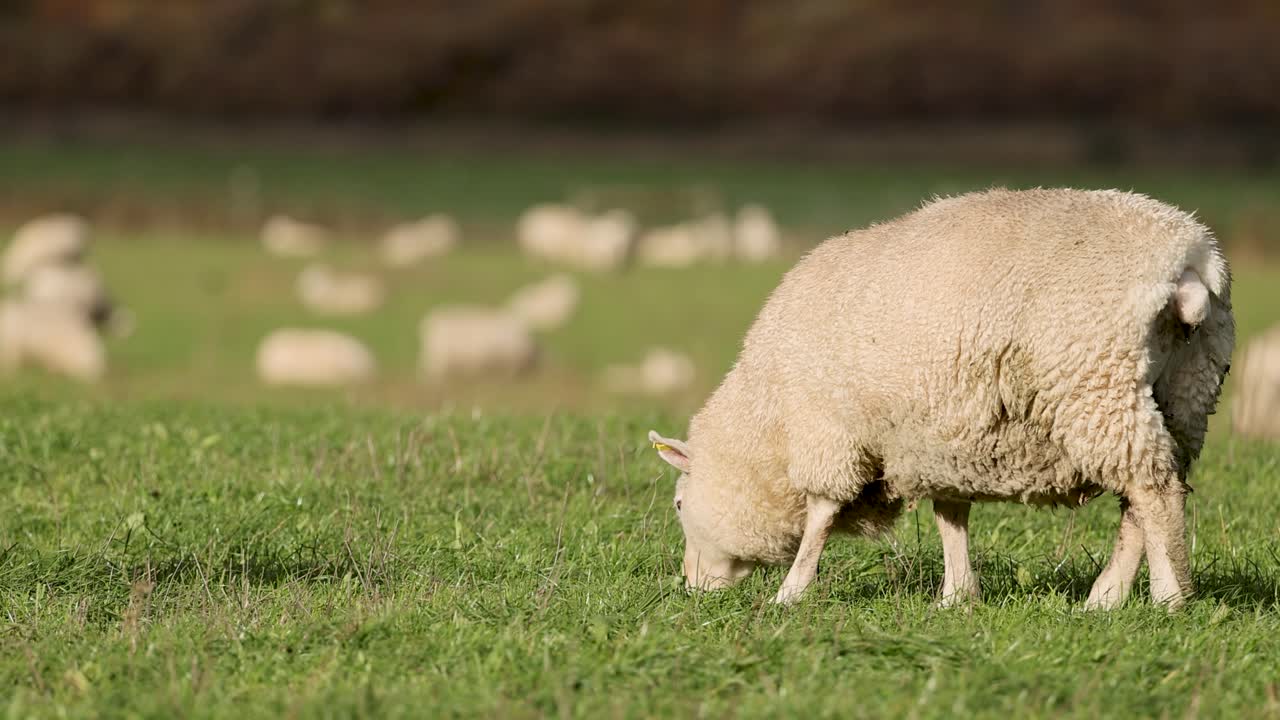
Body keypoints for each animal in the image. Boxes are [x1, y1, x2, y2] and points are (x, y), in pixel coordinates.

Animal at [648, 188, 1233, 611]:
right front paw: (956, 596)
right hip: (1185, 392)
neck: (768, 418)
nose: (690, 589)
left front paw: (790, 593)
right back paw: (1106, 598)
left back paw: (1168, 598)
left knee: (1153, 493)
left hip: (1097, 385)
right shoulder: (943, 439)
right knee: (1146, 497)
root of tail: (1189, 261)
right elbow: (951, 515)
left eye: (678, 505)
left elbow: (819, 516)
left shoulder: (829, 432)